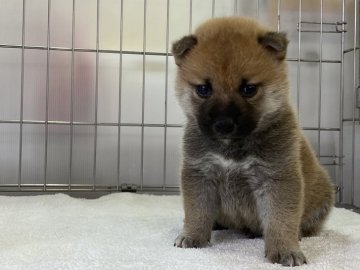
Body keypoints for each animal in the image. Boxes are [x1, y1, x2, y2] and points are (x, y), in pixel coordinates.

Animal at [172, 16, 334, 266]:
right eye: (203, 89)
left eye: (248, 89)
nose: (224, 124)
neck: (231, 147)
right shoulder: (200, 174)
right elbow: (196, 211)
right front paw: (192, 236)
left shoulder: (277, 178)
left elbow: (280, 219)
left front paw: (284, 250)